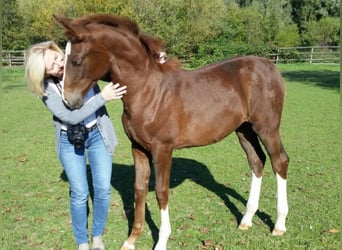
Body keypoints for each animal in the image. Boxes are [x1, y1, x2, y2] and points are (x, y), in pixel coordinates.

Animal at [53, 14, 288, 250]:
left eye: (76, 61)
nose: (68, 101)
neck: (147, 91)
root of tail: (270, 66)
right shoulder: (138, 148)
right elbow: (139, 189)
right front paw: (131, 240)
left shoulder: (163, 149)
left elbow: (161, 192)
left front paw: (162, 241)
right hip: (244, 130)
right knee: (257, 161)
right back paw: (246, 220)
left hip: (267, 128)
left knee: (279, 161)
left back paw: (279, 225)